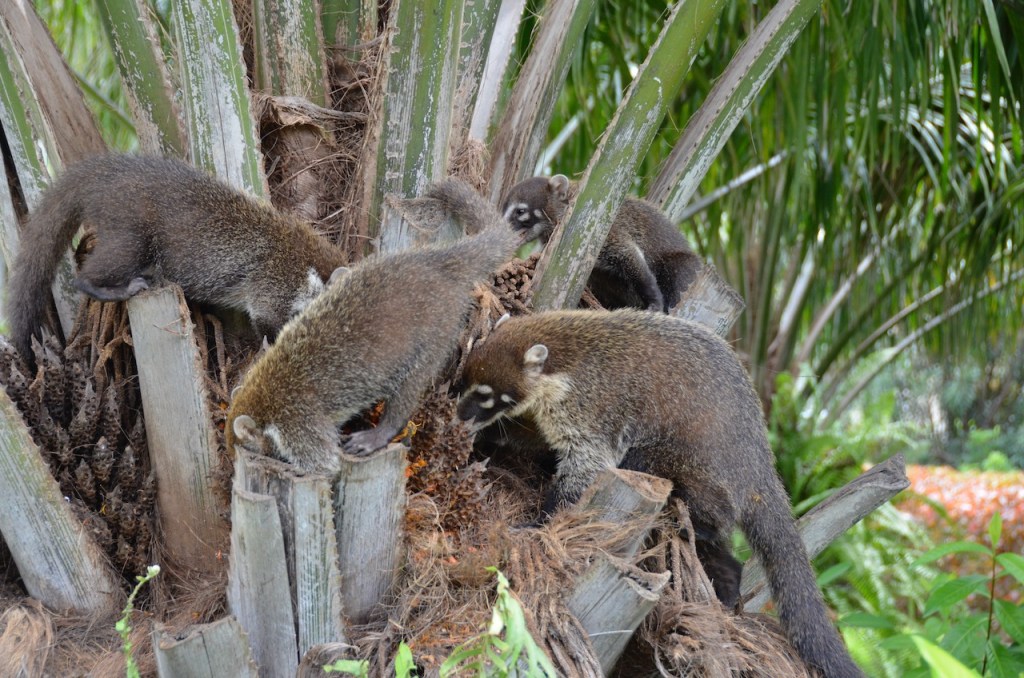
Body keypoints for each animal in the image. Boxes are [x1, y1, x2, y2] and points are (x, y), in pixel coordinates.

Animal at [4, 154, 349, 362]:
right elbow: (266, 320)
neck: (311, 261)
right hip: (130, 223)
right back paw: (107, 286)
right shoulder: (276, 279)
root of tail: (106, 173)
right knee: (106, 264)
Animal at [226, 177, 522, 472]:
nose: (229, 464)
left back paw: (386, 428)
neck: (261, 395)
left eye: (241, 448)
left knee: (411, 384)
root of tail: (436, 263)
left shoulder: (298, 426)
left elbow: (326, 465)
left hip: (439, 328)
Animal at [456, 309, 862, 678]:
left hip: (694, 464)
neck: (563, 351)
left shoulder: (591, 407)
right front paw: (492, 438)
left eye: (487, 396)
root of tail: (759, 466)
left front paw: (544, 519)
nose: (459, 417)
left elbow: (589, 464)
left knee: (682, 490)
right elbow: (537, 438)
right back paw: (728, 579)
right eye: (463, 382)